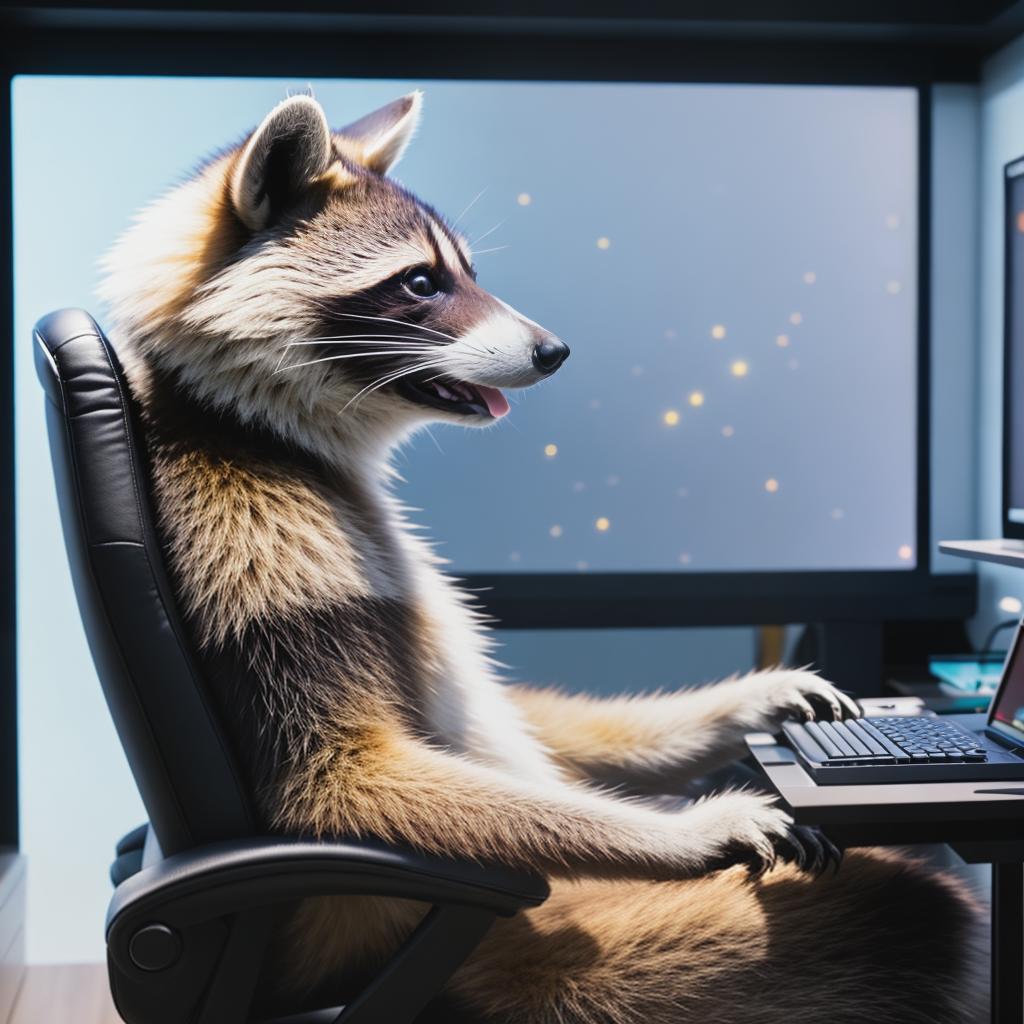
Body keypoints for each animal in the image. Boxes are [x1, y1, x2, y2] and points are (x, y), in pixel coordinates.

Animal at [97, 94, 983, 1024]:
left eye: (465, 271)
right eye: (420, 282)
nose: (555, 351)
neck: (256, 425)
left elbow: (527, 713)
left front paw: (750, 699)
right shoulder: (240, 525)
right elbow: (343, 778)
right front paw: (680, 830)